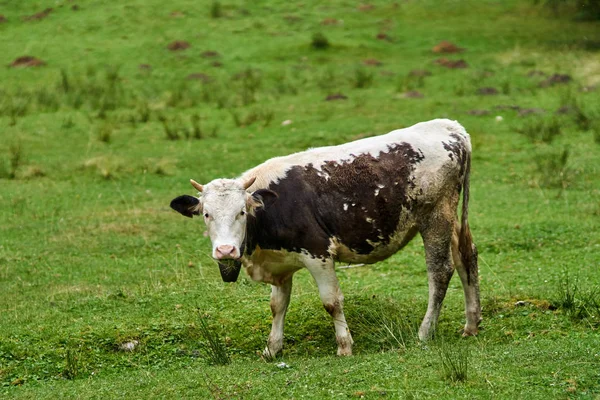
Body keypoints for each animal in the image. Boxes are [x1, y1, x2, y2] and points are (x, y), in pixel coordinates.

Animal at [170, 118, 482, 356]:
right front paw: (272, 348)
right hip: (451, 219)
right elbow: (277, 306)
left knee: (440, 272)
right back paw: (471, 325)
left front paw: (344, 346)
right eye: (206, 214)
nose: (225, 251)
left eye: (242, 212)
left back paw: (425, 331)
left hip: (435, 218)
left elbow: (331, 301)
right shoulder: (281, 264)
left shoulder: (318, 253)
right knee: (466, 257)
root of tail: (450, 127)